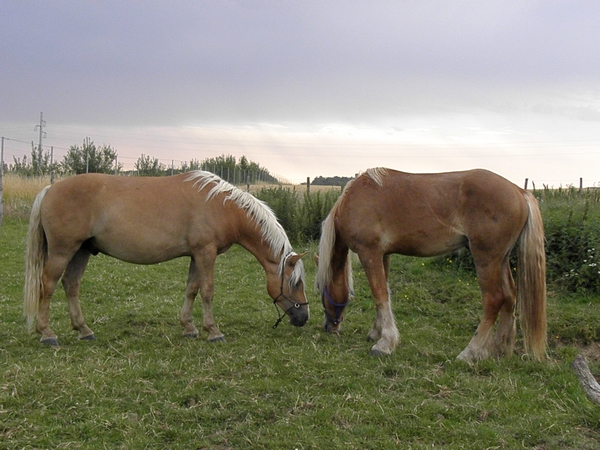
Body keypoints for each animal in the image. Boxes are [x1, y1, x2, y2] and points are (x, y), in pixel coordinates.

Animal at [22, 171, 310, 346]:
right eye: (296, 283)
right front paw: (213, 331)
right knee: (47, 285)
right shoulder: (206, 253)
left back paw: (84, 330)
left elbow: (192, 289)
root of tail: (49, 189)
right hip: (63, 251)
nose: (304, 317)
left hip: (81, 251)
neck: (222, 206)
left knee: (71, 285)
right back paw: (47, 334)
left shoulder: (196, 254)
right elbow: (207, 291)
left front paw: (189, 328)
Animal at [316, 168, 548, 362]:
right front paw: (376, 332)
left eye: (320, 290)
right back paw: (501, 349)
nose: (329, 327)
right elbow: (384, 296)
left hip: (486, 258)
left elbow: (379, 294)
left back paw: (470, 352)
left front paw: (385, 343)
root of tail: (519, 191)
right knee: (510, 296)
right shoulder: (383, 255)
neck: (355, 199)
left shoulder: (369, 253)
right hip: (501, 259)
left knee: (494, 299)